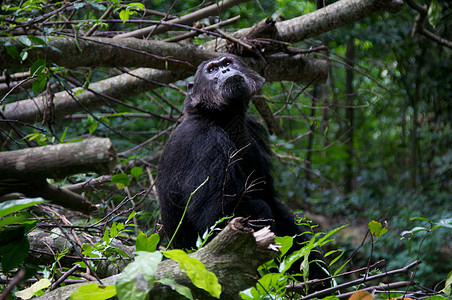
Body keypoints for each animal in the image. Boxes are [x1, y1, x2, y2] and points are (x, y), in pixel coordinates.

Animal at [155, 54, 328, 284]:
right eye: (211, 70)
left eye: (228, 62)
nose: (225, 71)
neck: (225, 119)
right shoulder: (203, 142)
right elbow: (217, 215)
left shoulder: (254, 132)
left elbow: (271, 200)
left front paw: (316, 269)